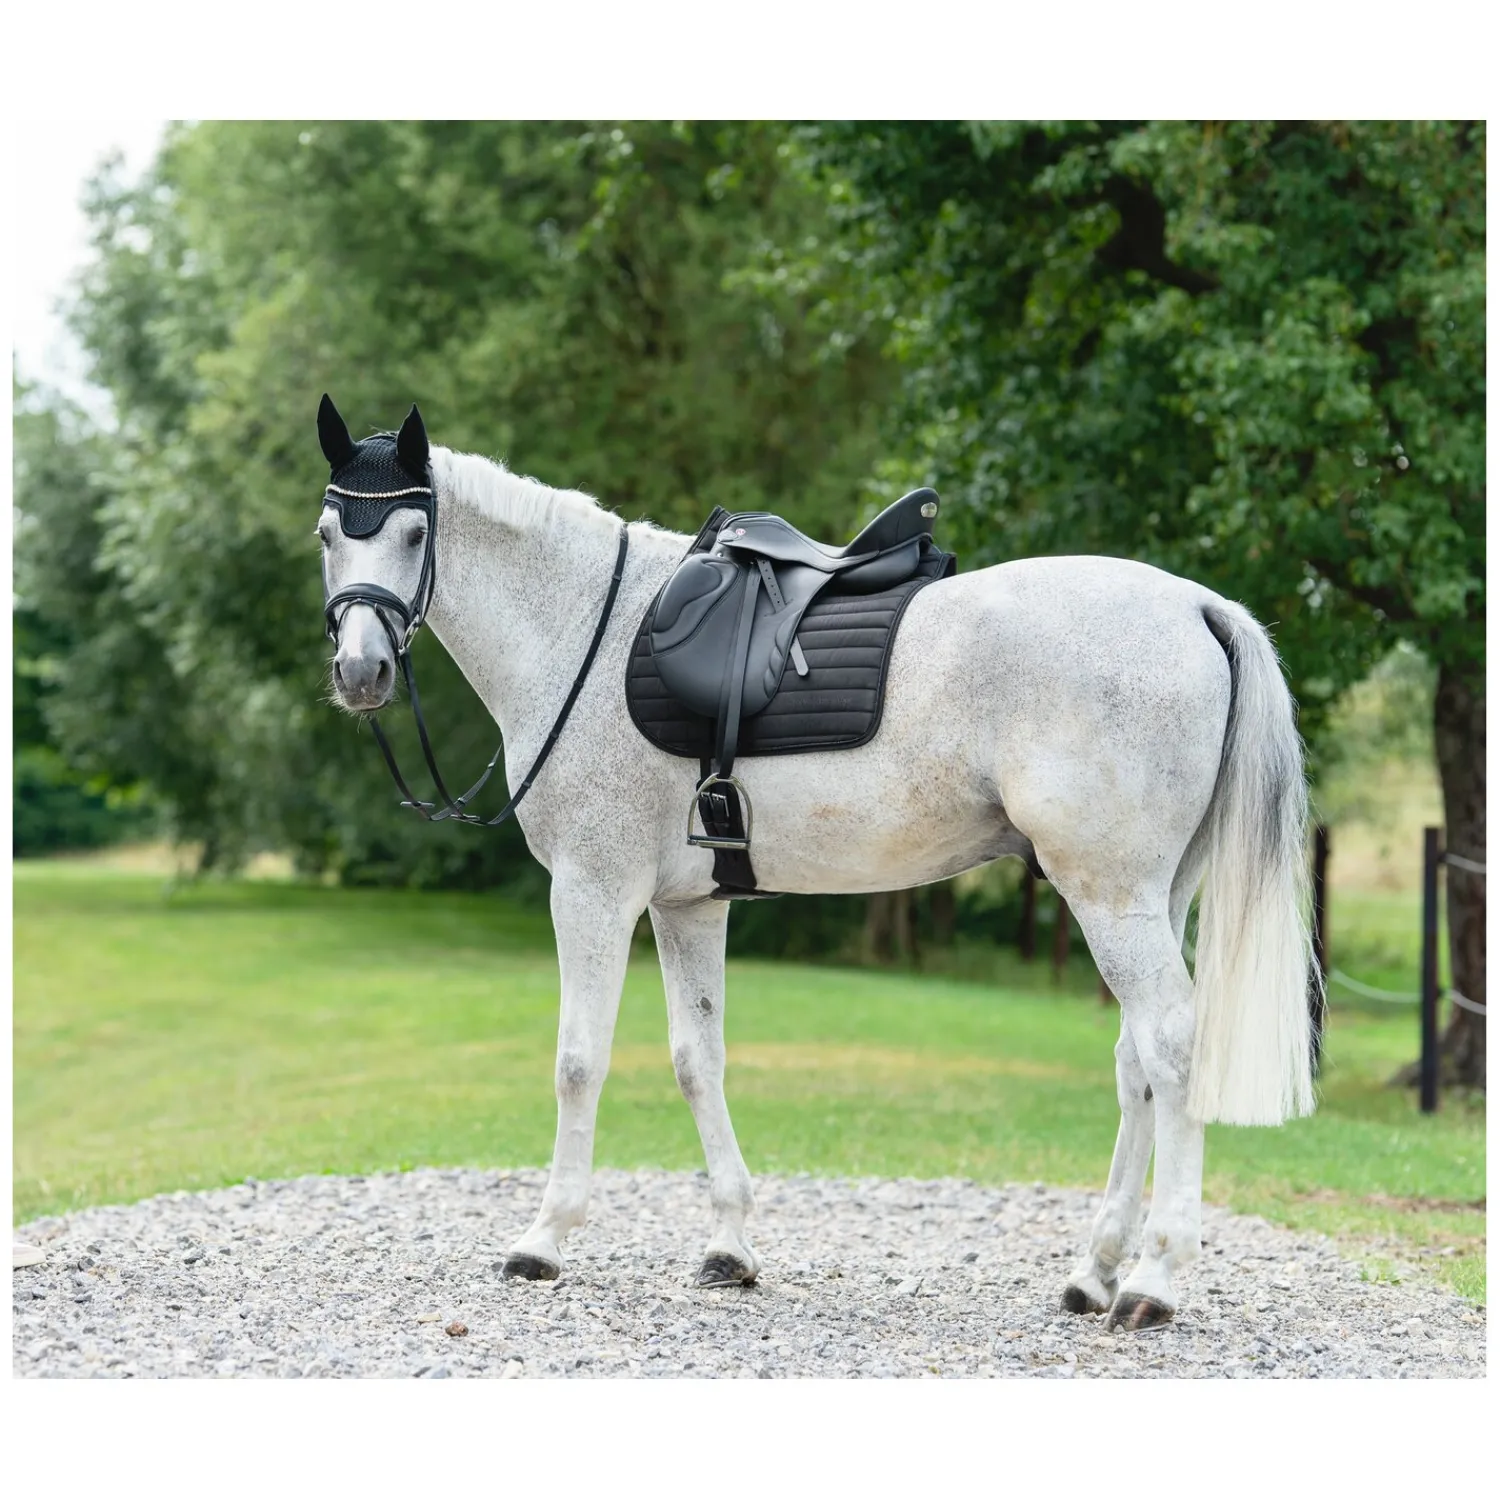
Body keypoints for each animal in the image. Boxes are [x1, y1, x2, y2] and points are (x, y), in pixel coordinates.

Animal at [315, 398, 1318, 1331]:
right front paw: (728, 1244)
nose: (362, 673)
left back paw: (1152, 1280)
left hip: (1110, 898)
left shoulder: (593, 892)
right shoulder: (688, 906)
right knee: (1134, 1061)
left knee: (1173, 1048)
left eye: (413, 533)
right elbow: (698, 1059)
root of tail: (1196, 606)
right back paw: (1094, 1270)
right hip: (1153, 897)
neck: (582, 632)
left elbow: (578, 1060)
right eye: (329, 533)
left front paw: (543, 1239)